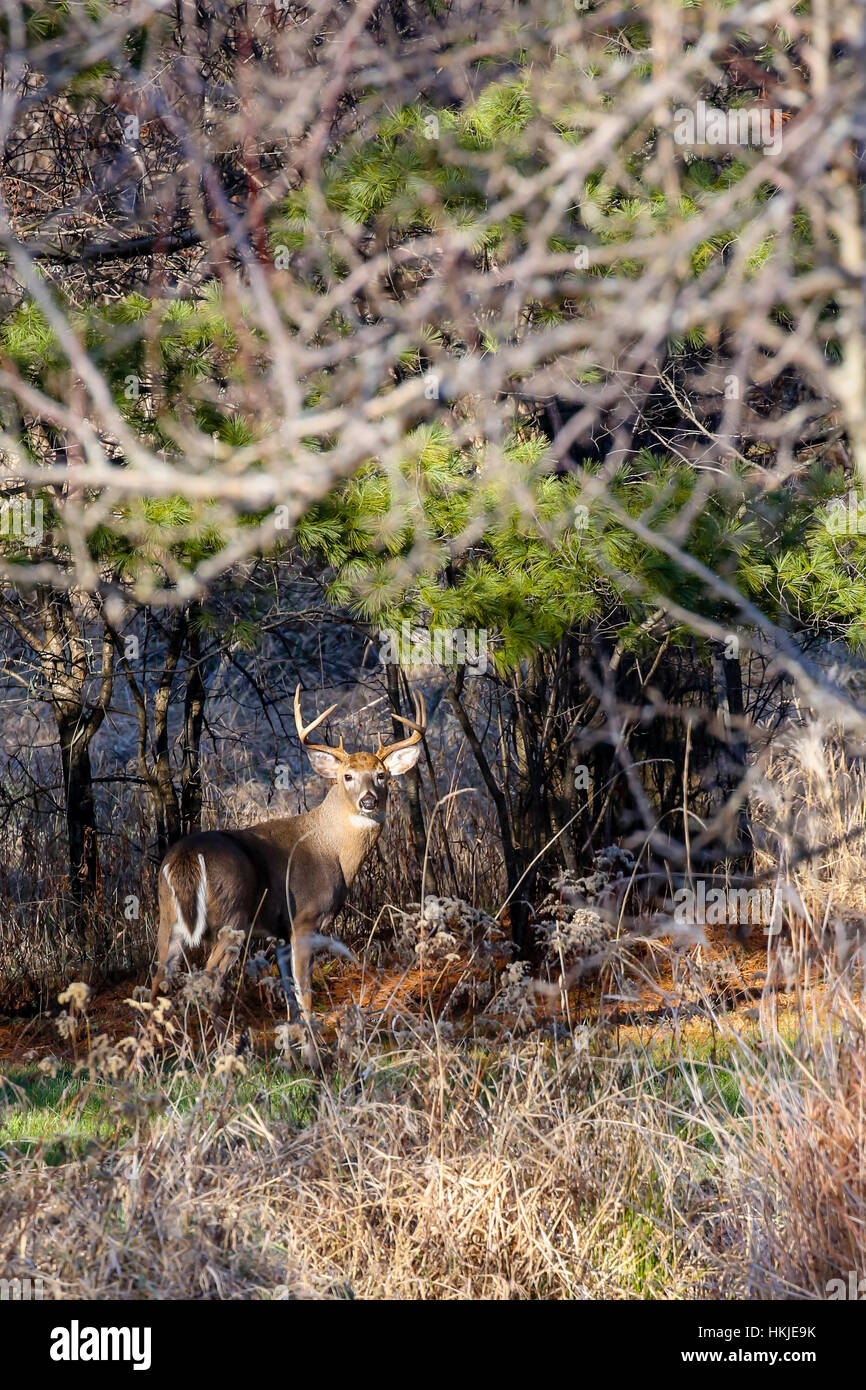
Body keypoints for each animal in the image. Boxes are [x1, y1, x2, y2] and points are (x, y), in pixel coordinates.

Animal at [153, 683, 430, 1050]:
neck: (331, 848)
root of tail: (185, 856)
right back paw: (222, 1044)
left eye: (382, 775)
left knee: (157, 980)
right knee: (208, 980)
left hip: (167, 916)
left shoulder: (280, 932)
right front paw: (314, 1043)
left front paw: (297, 1044)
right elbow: (305, 992)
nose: (368, 801)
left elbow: (289, 996)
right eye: (347, 776)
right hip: (232, 916)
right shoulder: (304, 919)